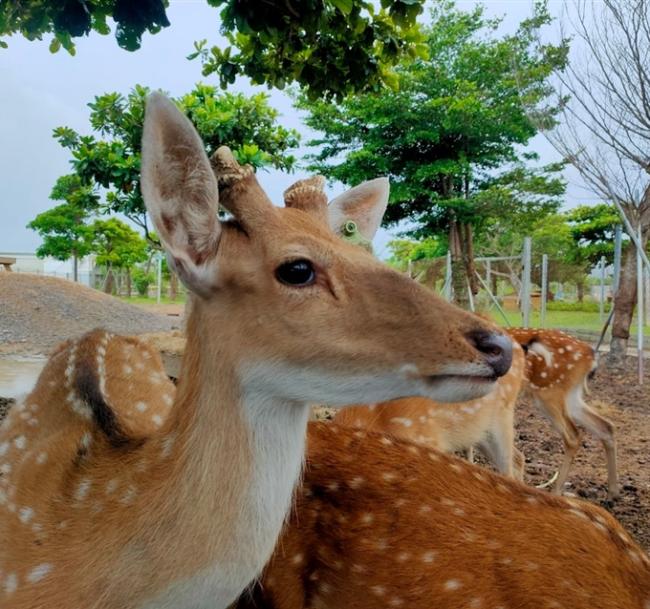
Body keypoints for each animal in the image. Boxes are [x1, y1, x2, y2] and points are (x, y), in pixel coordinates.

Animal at [506, 328, 616, 498]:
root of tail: (591, 355)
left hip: (550, 394)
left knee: (573, 436)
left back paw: (556, 491)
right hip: (571, 396)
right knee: (606, 426)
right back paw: (612, 492)